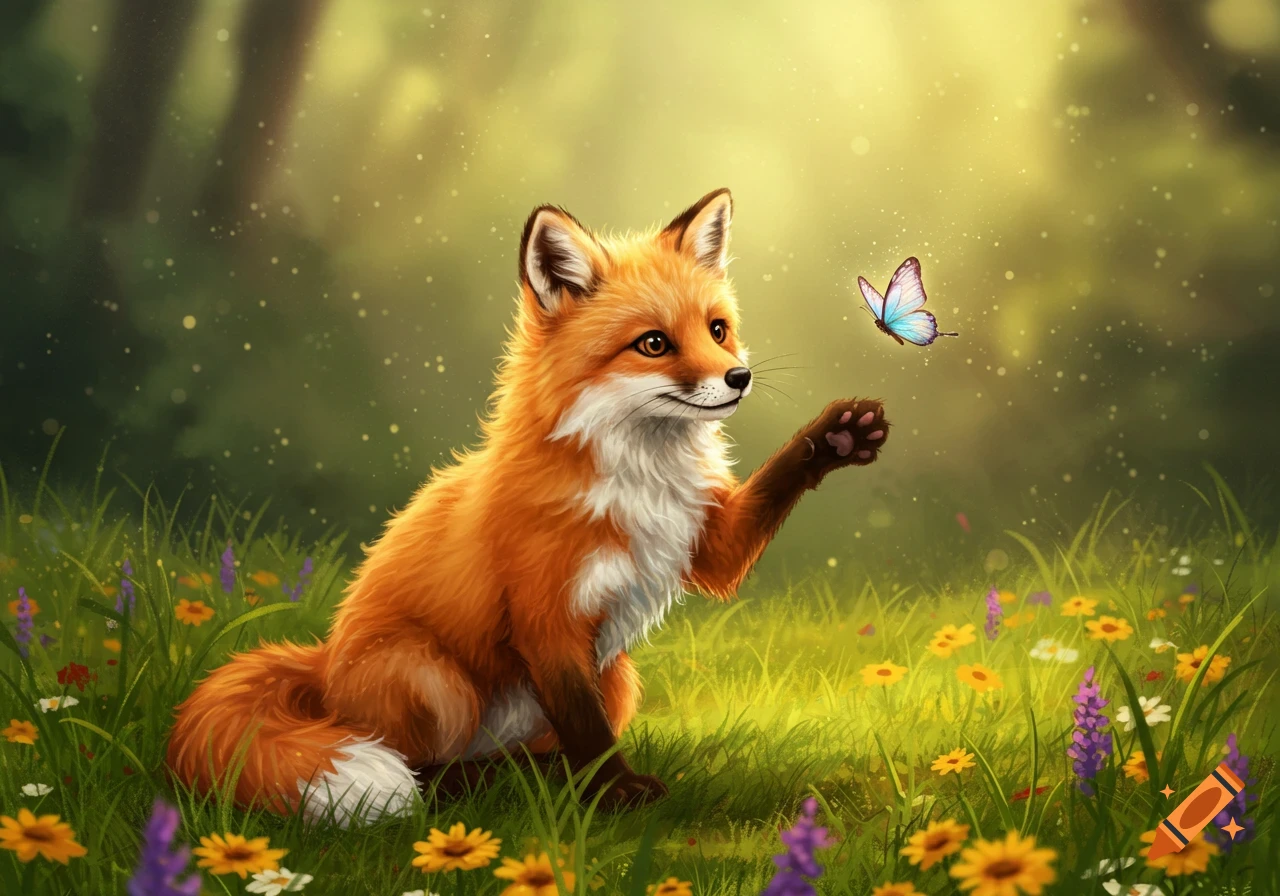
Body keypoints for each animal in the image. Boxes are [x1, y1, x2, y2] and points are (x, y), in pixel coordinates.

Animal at [165, 188, 890, 827]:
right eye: (654, 344)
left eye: (718, 330)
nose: (739, 378)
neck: (639, 474)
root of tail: (322, 665)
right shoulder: (547, 617)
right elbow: (586, 731)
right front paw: (616, 795)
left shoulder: (701, 540)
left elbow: (755, 510)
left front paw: (836, 437)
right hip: (435, 679)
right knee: (424, 763)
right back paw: (488, 782)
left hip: (620, 676)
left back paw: (535, 775)